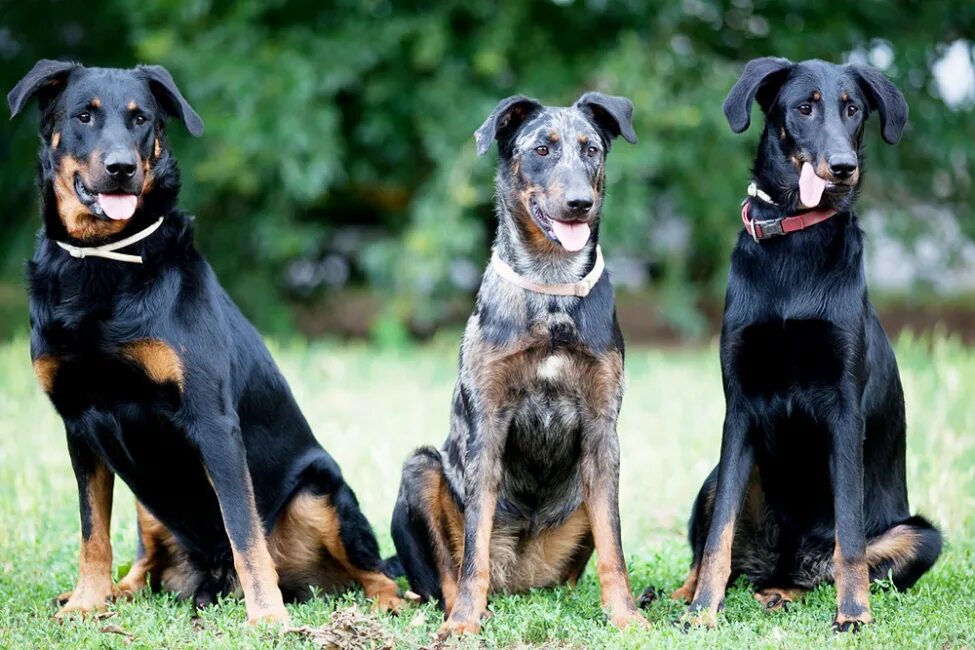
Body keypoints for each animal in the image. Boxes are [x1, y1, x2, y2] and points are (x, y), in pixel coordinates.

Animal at [7, 60, 404, 624]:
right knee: (143, 562)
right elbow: (92, 531)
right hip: (147, 504)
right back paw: (117, 591)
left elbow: (244, 532)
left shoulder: (212, 421)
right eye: (84, 115)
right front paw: (86, 601)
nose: (122, 168)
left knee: (375, 573)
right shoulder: (78, 423)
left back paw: (387, 603)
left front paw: (268, 617)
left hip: (320, 492)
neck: (105, 259)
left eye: (141, 119)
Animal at [388, 93, 648, 636]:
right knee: (449, 570)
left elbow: (613, 548)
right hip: (420, 467)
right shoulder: (487, 427)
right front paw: (465, 621)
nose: (579, 203)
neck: (551, 293)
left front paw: (625, 615)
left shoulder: (602, 432)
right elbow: (473, 551)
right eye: (542, 149)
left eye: (591, 149)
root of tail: (520, 579)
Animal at [676, 58, 940, 632]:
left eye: (853, 109)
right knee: (712, 546)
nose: (843, 167)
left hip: (921, 535)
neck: (795, 241)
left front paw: (854, 614)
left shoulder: (843, 410)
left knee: (823, 566)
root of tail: (781, 562)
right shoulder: (740, 409)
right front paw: (704, 611)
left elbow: (850, 539)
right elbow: (718, 537)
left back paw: (782, 593)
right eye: (804, 108)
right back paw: (683, 594)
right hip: (714, 476)